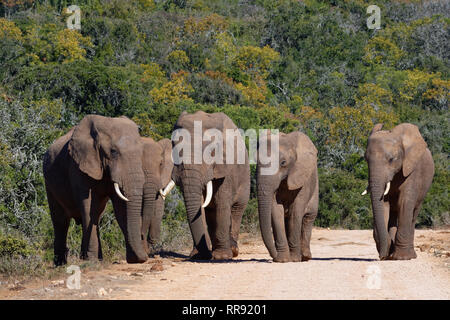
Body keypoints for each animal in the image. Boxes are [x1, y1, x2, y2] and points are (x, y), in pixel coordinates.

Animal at [42, 115, 151, 264]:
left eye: (141, 153)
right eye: (113, 152)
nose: (145, 256)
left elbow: (120, 209)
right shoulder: (77, 166)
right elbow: (88, 207)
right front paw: (92, 261)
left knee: (94, 216)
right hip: (49, 184)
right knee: (61, 221)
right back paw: (61, 264)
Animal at [171, 110, 251, 260]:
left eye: (211, 152)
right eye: (175, 149)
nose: (204, 255)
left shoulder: (226, 168)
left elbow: (222, 203)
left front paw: (222, 257)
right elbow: (200, 208)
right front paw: (198, 255)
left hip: (245, 180)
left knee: (237, 210)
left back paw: (233, 250)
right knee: (210, 213)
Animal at [256, 131, 320, 262]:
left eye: (283, 163)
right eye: (256, 162)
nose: (273, 257)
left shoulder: (302, 178)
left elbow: (296, 212)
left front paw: (294, 259)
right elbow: (276, 211)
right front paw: (282, 260)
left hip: (315, 184)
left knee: (308, 217)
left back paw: (305, 256)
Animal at [364, 122, 434, 260]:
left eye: (391, 159)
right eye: (366, 159)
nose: (381, 256)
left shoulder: (412, 170)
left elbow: (405, 203)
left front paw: (402, 257)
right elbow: (383, 204)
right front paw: (388, 250)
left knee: (413, 213)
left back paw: (409, 255)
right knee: (393, 212)